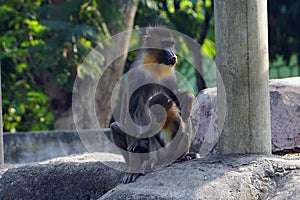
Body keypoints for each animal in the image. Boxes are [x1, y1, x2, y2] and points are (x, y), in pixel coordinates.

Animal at [110, 27, 197, 184]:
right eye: (165, 44)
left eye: (171, 44)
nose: (174, 56)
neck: (155, 65)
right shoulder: (137, 75)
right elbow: (133, 113)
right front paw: (133, 171)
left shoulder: (169, 76)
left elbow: (176, 98)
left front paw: (188, 97)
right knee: (115, 127)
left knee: (184, 115)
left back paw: (184, 155)